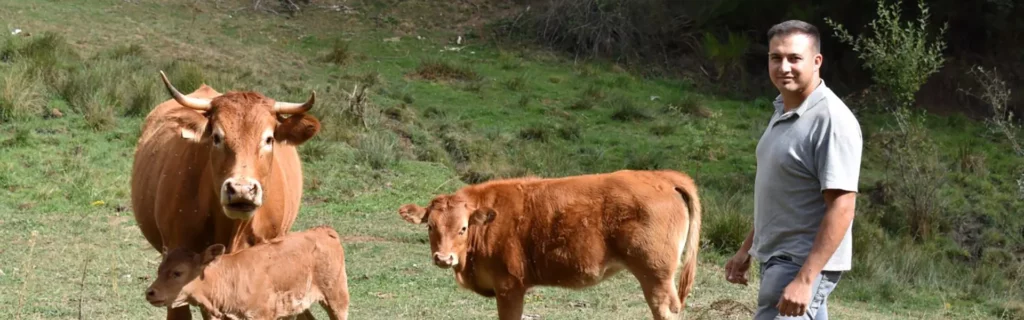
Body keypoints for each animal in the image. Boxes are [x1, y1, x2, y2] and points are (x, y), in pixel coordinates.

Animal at [395, 169, 700, 317]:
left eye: (463, 227)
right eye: (431, 226)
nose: (443, 258)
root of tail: (663, 176)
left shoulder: (509, 287)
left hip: (656, 275)